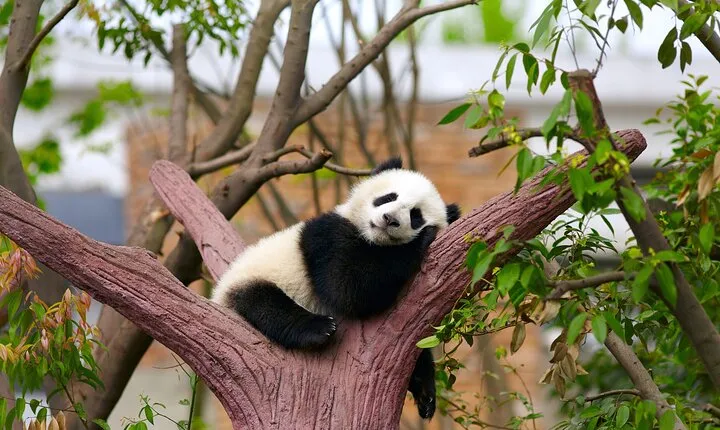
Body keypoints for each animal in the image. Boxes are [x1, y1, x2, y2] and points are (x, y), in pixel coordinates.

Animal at [212, 157, 461, 419]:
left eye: (416, 215)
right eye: (388, 197)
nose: (390, 219)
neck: (372, 239)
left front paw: (425, 391)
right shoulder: (325, 235)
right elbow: (346, 287)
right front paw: (421, 240)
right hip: (252, 278)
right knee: (264, 303)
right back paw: (318, 328)